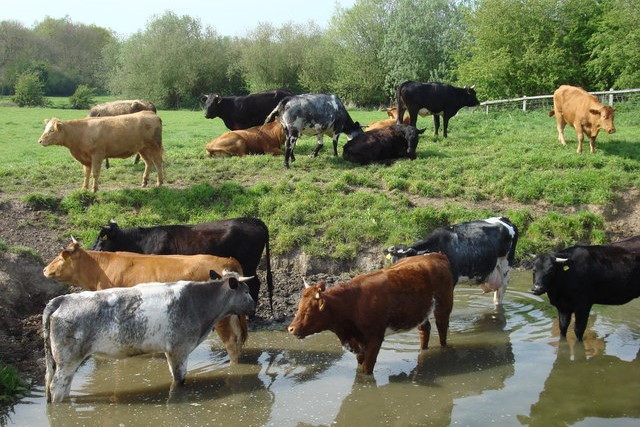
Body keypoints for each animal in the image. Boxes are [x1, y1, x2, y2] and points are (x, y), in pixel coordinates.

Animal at [42, 272, 258, 402]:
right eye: (247, 291)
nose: (254, 306)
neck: (198, 303)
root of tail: (62, 300)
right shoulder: (178, 349)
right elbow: (179, 379)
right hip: (68, 360)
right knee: (57, 386)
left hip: (58, 362)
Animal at [43, 241, 250, 364]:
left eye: (60, 258)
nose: (44, 269)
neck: (100, 269)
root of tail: (227, 260)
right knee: (238, 338)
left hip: (222, 319)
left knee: (231, 342)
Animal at [288, 254, 452, 374]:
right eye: (298, 307)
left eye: (308, 310)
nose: (290, 328)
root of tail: (436, 255)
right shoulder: (356, 343)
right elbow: (360, 366)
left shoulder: (375, 338)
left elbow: (366, 370)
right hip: (419, 312)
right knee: (425, 329)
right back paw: (423, 350)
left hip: (444, 306)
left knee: (442, 330)